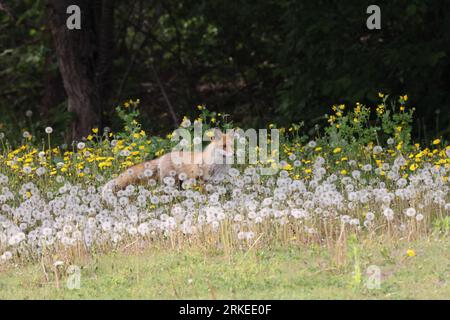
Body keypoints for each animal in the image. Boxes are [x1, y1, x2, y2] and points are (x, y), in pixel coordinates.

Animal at [102, 128, 236, 198]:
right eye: (224, 146)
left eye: (231, 146)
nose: (234, 154)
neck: (217, 166)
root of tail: (162, 157)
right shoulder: (202, 180)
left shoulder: (217, 182)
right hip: (171, 183)